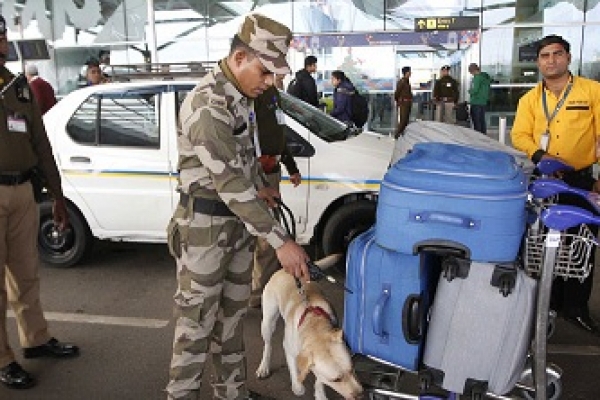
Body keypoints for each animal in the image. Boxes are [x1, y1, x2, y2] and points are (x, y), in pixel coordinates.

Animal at [255, 255, 364, 398]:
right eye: (336, 380)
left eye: (352, 369)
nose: (361, 395)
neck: (314, 325)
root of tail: (284, 269)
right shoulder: (289, 349)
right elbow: (296, 376)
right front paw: (298, 387)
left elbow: (319, 379)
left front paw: (320, 394)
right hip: (268, 321)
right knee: (268, 345)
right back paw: (263, 367)